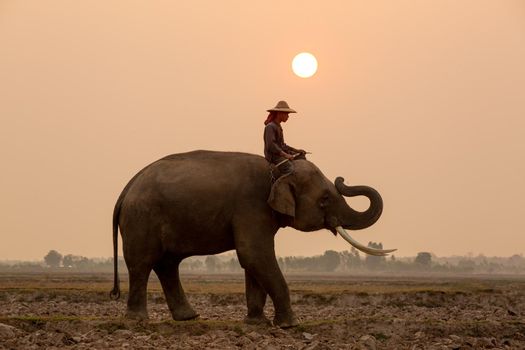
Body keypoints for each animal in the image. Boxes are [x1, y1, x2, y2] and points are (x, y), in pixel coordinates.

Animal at [107, 150, 392, 328]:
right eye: (324, 199)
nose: (342, 179)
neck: (277, 170)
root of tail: (126, 189)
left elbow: (253, 261)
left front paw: (257, 323)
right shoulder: (251, 206)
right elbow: (254, 254)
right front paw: (289, 325)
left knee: (167, 264)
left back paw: (189, 317)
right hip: (141, 218)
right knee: (142, 264)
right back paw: (138, 320)